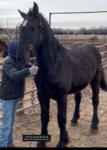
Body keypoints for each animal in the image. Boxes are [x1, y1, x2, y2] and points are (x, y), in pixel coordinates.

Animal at [16, 2, 107, 148]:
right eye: (20, 29)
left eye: (33, 28)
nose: (20, 58)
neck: (53, 63)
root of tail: (94, 49)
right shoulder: (42, 95)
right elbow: (44, 118)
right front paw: (41, 142)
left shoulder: (61, 97)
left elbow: (61, 118)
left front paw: (63, 140)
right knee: (78, 99)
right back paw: (75, 119)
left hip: (96, 81)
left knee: (95, 101)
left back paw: (94, 125)